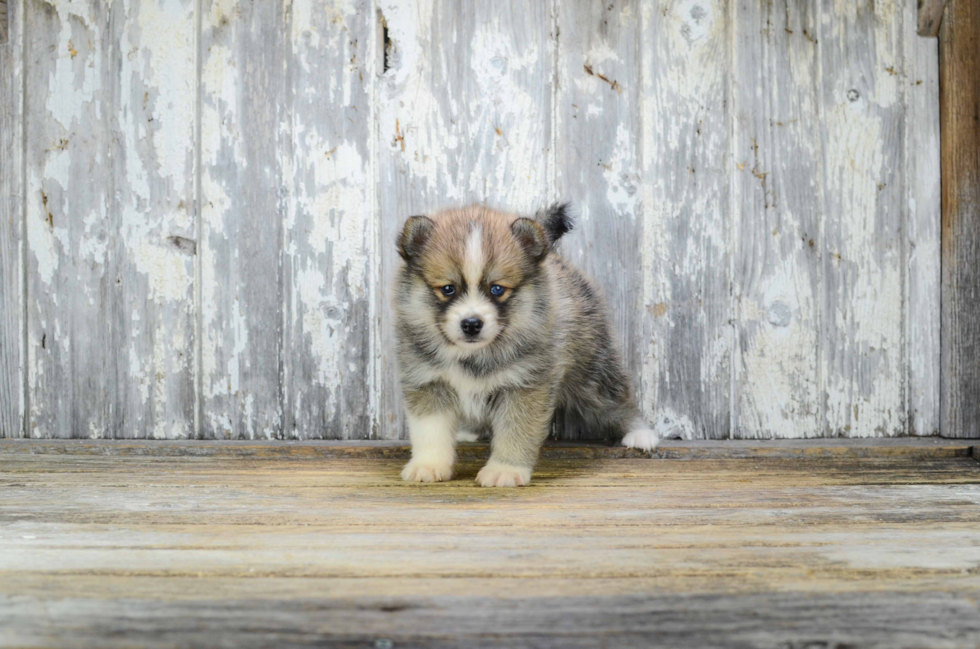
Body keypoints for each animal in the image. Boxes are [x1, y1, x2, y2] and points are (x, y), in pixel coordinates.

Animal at [392, 204, 660, 486]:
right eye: (447, 289)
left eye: (498, 289)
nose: (472, 324)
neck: (473, 355)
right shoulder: (427, 382)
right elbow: (430, 431)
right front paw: (428, 464)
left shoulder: (524, 386)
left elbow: (515, 431)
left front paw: (504, 469)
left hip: (593, 373)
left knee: (616, 401)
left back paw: (639, 433)